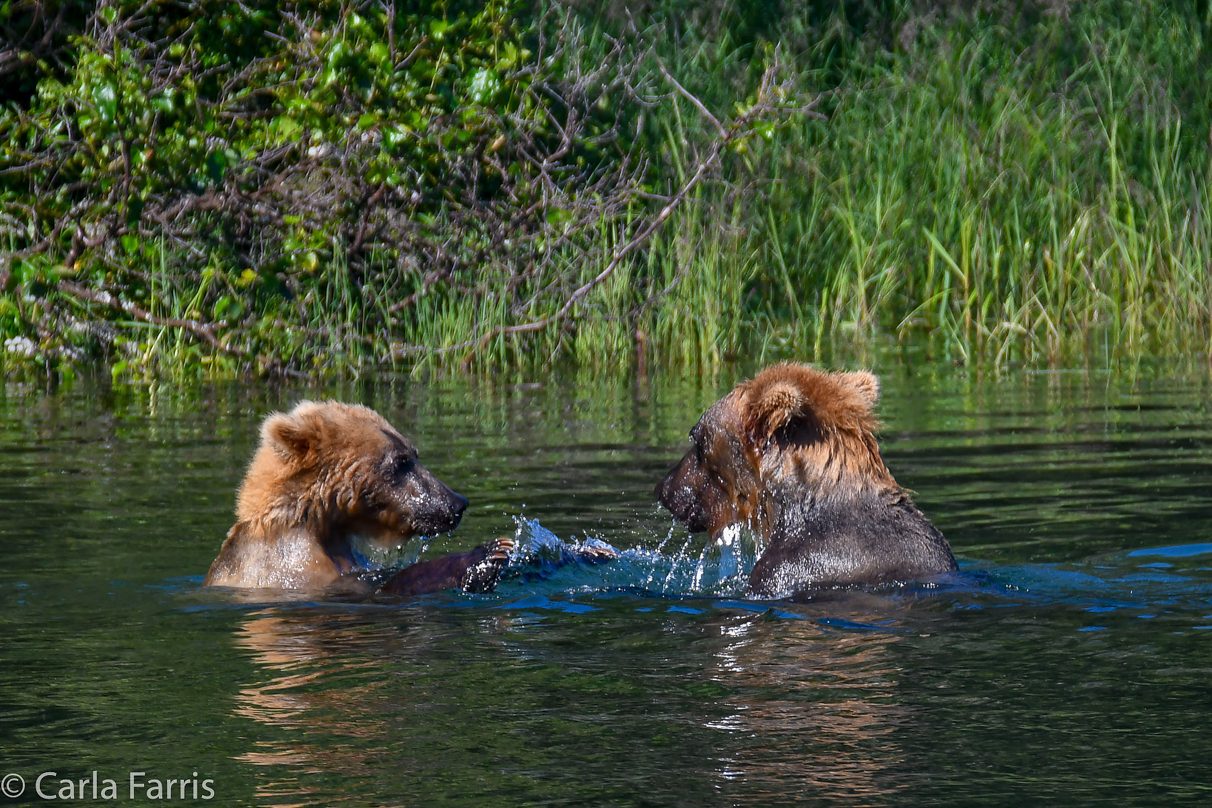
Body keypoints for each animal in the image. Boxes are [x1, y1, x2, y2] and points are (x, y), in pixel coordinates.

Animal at [203, 402, 511, 598]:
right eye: (401, 461)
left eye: (414, 454)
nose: (457, 503)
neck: (319, 523)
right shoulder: (293, 568)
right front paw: (488, 554)